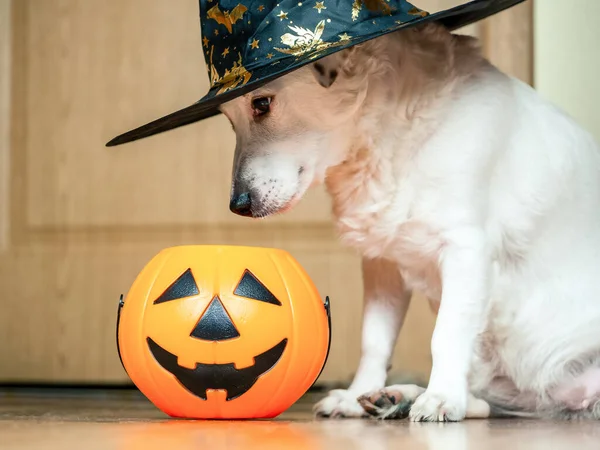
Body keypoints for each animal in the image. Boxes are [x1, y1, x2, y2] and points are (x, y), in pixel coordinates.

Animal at [220, 22, 600, 420]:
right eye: (228, 120)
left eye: (262, 103)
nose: (237, 206)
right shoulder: (382, 264)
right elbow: (374, 340)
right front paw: (359, 393)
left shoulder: (466, 251)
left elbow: (446, 335)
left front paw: (442, 397)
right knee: (482, 404)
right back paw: (396, 397)